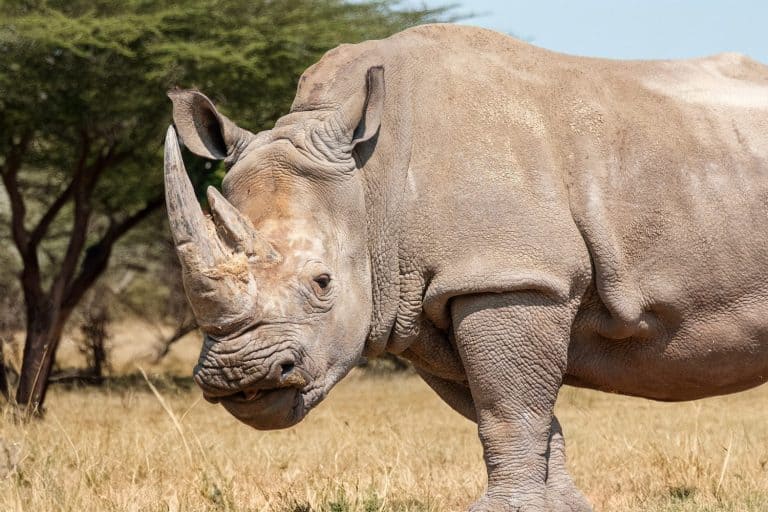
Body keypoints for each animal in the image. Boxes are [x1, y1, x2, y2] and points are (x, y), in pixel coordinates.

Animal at [163, 23, 768, 511]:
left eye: (322, 282)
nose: (240, 376)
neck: (372, 185)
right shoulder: (429, 299)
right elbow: (515, 413)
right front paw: (563, 507)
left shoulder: (509, 277)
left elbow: (509, 411)